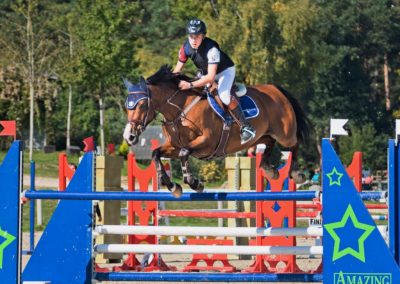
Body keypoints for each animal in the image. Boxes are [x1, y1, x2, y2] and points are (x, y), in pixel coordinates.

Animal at [122, 64, 310, 197]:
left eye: (141, 105)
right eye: (127, 106)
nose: (129, 136)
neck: (180, 110)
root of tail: (276, 89)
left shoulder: (207, 142)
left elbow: (184, 153)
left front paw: (195, 183)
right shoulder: (174, 145)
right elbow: (156, 153)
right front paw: (174, 187)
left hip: (284, 133)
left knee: (294, 143)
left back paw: (296, 173)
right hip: (261, 135)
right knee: (267, 142)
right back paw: (269, 169)